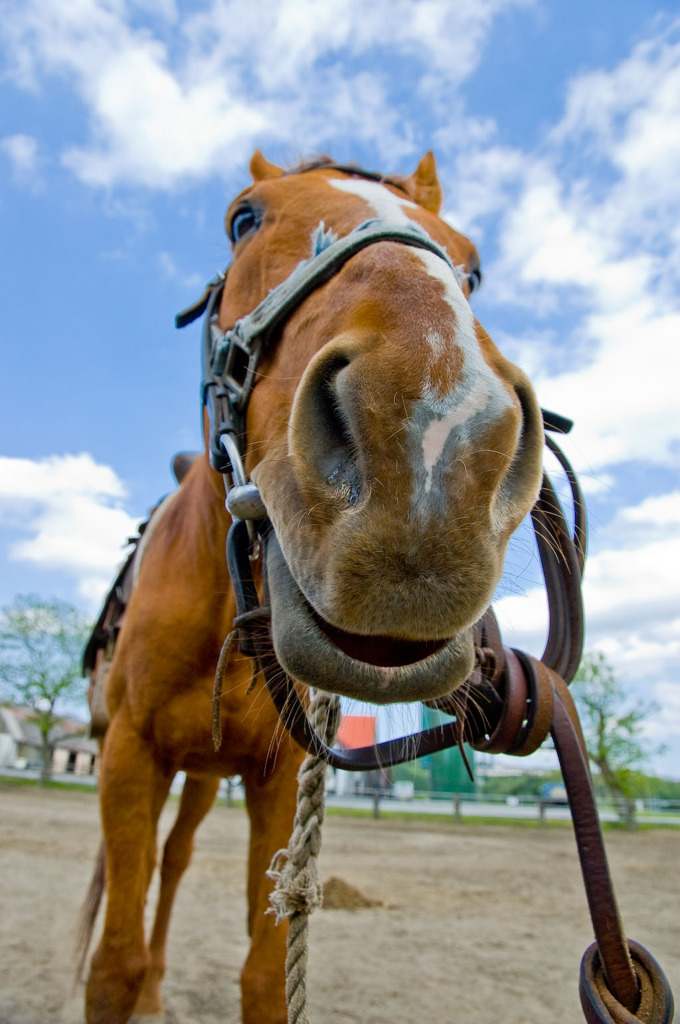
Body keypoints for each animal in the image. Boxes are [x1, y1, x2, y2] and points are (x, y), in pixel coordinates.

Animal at [82, 149, 544, 1024]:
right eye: (243, 218)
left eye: (472, 266)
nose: (431, 438)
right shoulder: (129, 756)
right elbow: (111, 965)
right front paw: (128, 979)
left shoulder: (268, 784)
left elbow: (264, 976)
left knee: (179, 857)